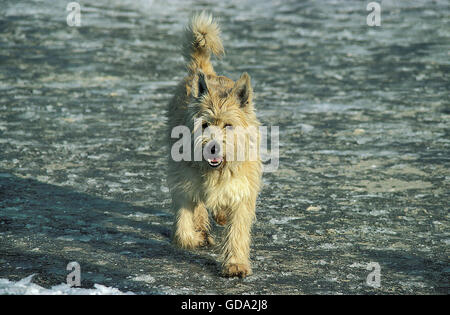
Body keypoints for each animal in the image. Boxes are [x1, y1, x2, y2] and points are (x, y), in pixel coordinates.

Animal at [167, 11, 262, 278]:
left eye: (228, 125)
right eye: (205, 124)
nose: (213, 148)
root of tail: (203, 72)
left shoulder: (243, 190)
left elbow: (237, 229)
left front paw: (235, 263)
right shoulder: (182, 181)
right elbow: (184, 228)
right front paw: (195, 236)